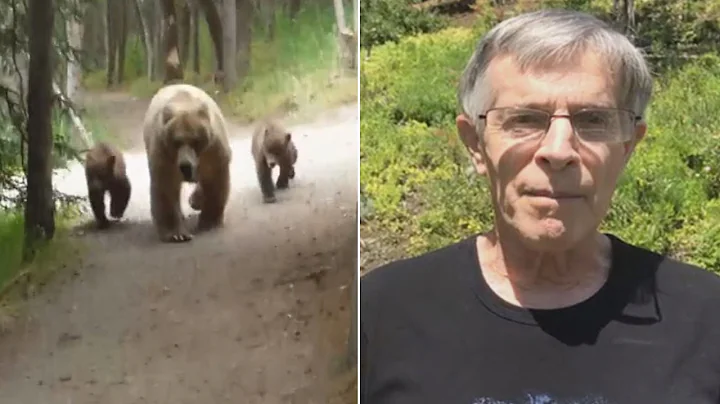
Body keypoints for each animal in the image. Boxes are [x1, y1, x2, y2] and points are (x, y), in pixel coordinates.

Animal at [141, 82, 231, 243]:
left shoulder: (212, 150)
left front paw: (209, 222)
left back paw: (195, 200)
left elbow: (215, 180)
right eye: (176, 141)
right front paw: (177, 234)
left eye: (196, 140)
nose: (185, 165)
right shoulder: (164, 153)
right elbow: (166, 187)